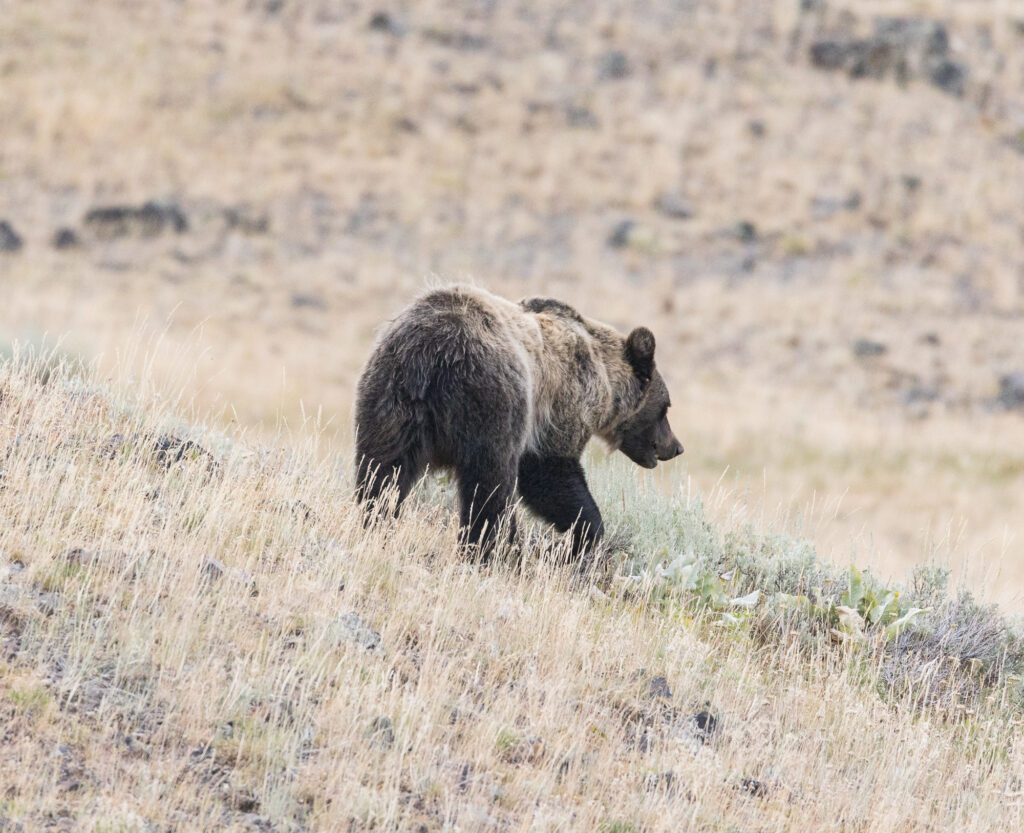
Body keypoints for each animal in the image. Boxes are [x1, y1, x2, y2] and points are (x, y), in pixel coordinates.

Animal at [353, 285, 683, 559]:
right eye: (666, 408)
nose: (676, 447)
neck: (604, 380)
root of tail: (434, 352)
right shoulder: (561, 405)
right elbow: (549, 472)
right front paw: (585, 533)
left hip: (390, 397)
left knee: (382, 470)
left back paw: (376, 521)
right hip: (494, 399)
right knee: (489, 483)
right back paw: (488, 547)